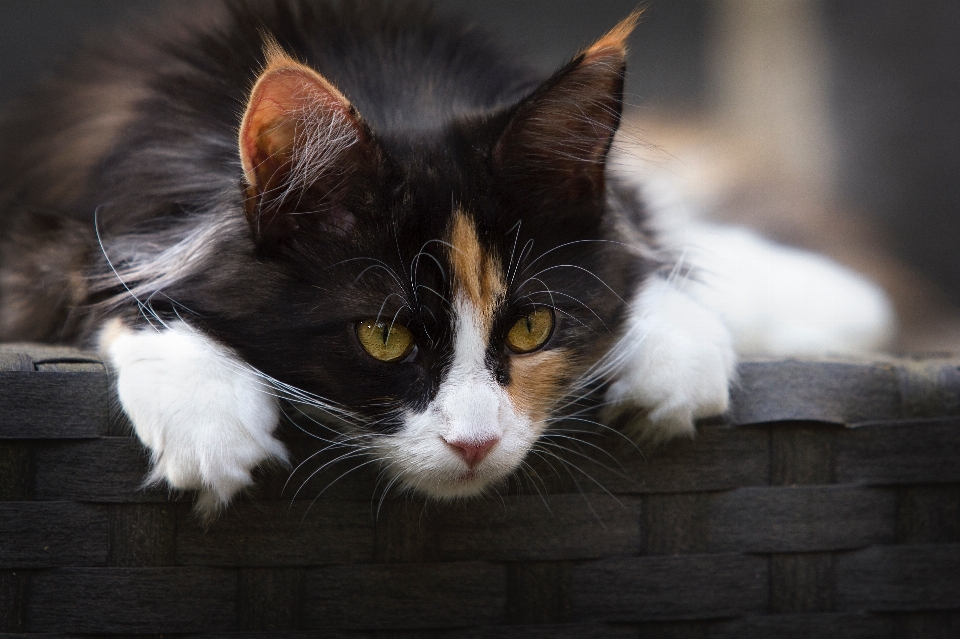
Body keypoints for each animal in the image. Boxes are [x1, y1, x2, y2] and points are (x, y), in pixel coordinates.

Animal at [0, 0, 892, 516]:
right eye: (384, 336)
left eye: (532, 327)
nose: (475, 443)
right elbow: (98, 277)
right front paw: (206, 415)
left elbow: (647, 246)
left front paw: (676, 355)